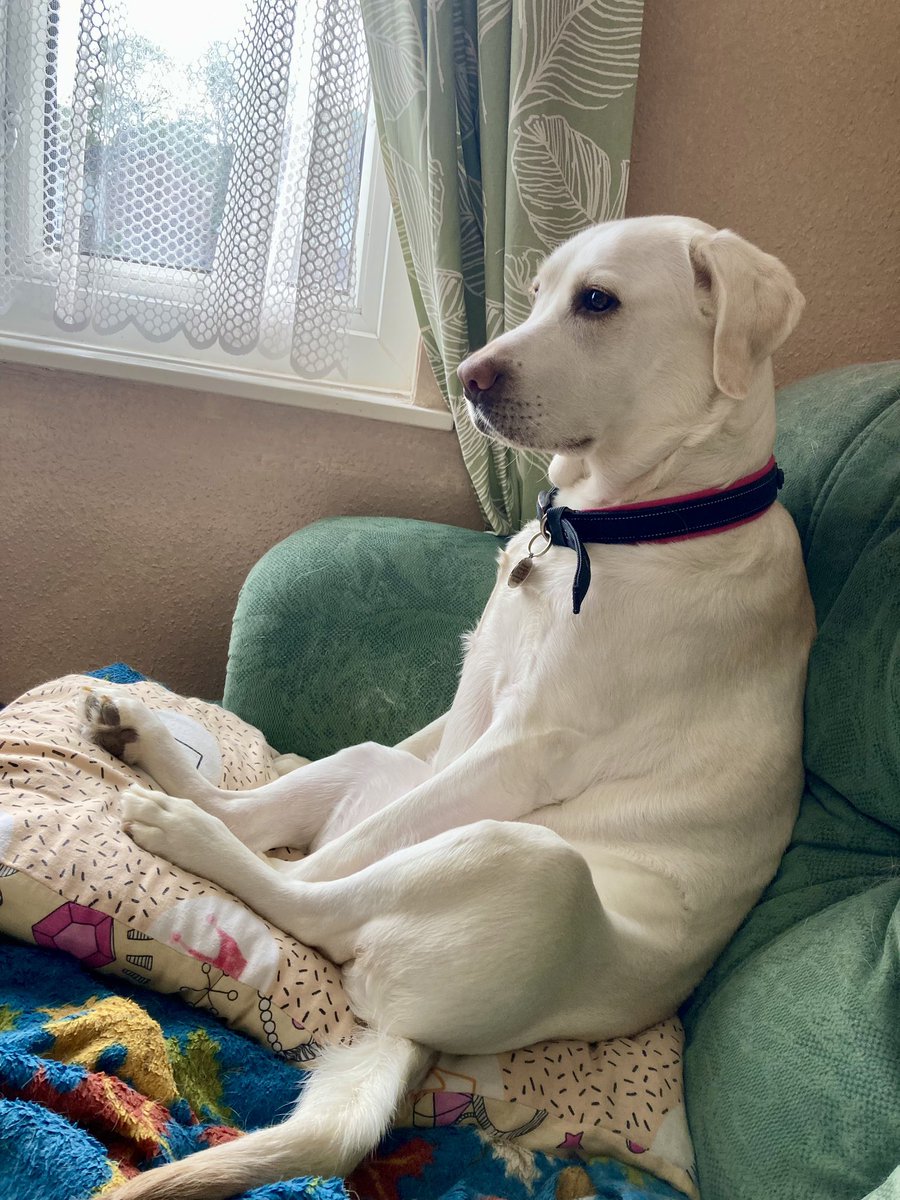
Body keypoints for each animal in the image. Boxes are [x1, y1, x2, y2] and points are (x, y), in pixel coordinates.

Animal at [86, 216, 816, 1200]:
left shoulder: (522, 749)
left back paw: (190, 835)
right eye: (539, 292)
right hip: (382, 764)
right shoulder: (473, 697)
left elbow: (335, 865)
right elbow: (384, 774)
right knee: (273, 808)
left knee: (310, 897)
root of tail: (417, 1036)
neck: (635, 519)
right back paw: (153, 755)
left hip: (525, 860)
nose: (468, 377)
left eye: (598, 301)